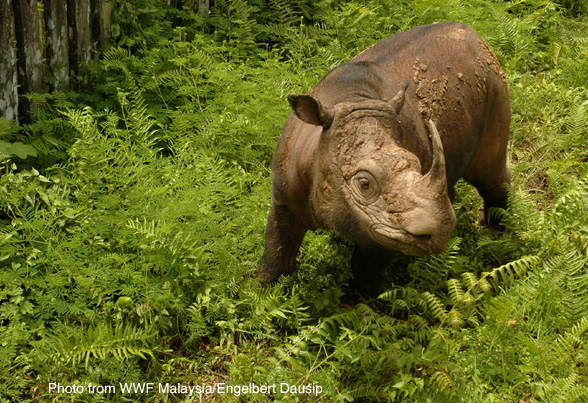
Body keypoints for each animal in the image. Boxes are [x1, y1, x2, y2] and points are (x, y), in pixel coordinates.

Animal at [258, 22, 510, 296]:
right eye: (364, 184)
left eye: (418, 164)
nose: (440, 231)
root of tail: (473, 35)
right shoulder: (284, 198)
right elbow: (275, 255)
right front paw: (263, 294)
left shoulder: (382, 228)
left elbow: (366, 276)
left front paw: (354, 304)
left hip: (493, 82)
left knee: (488, 173)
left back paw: (495, 235)